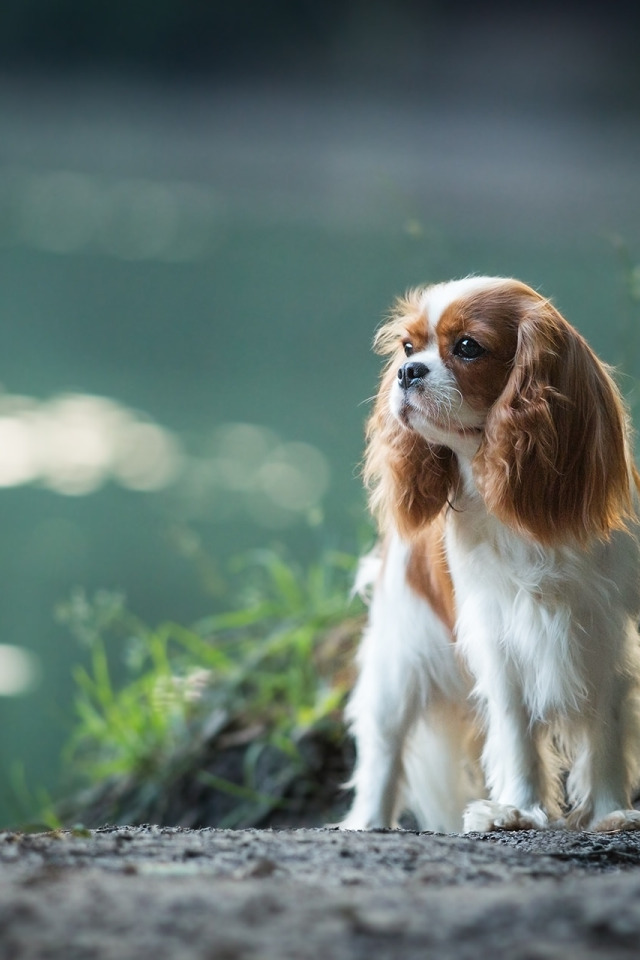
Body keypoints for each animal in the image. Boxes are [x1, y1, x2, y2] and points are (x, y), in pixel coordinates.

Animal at [342, 278, 640, 832]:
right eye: (409, 348)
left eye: (467, 347)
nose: (407, 372)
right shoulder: (501, 635)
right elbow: (516, 728)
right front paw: (517, 808)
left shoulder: (607, 633)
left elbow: (606, 730)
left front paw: (612, 811)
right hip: (399, 651)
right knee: (383, 744)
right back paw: (368, 821)